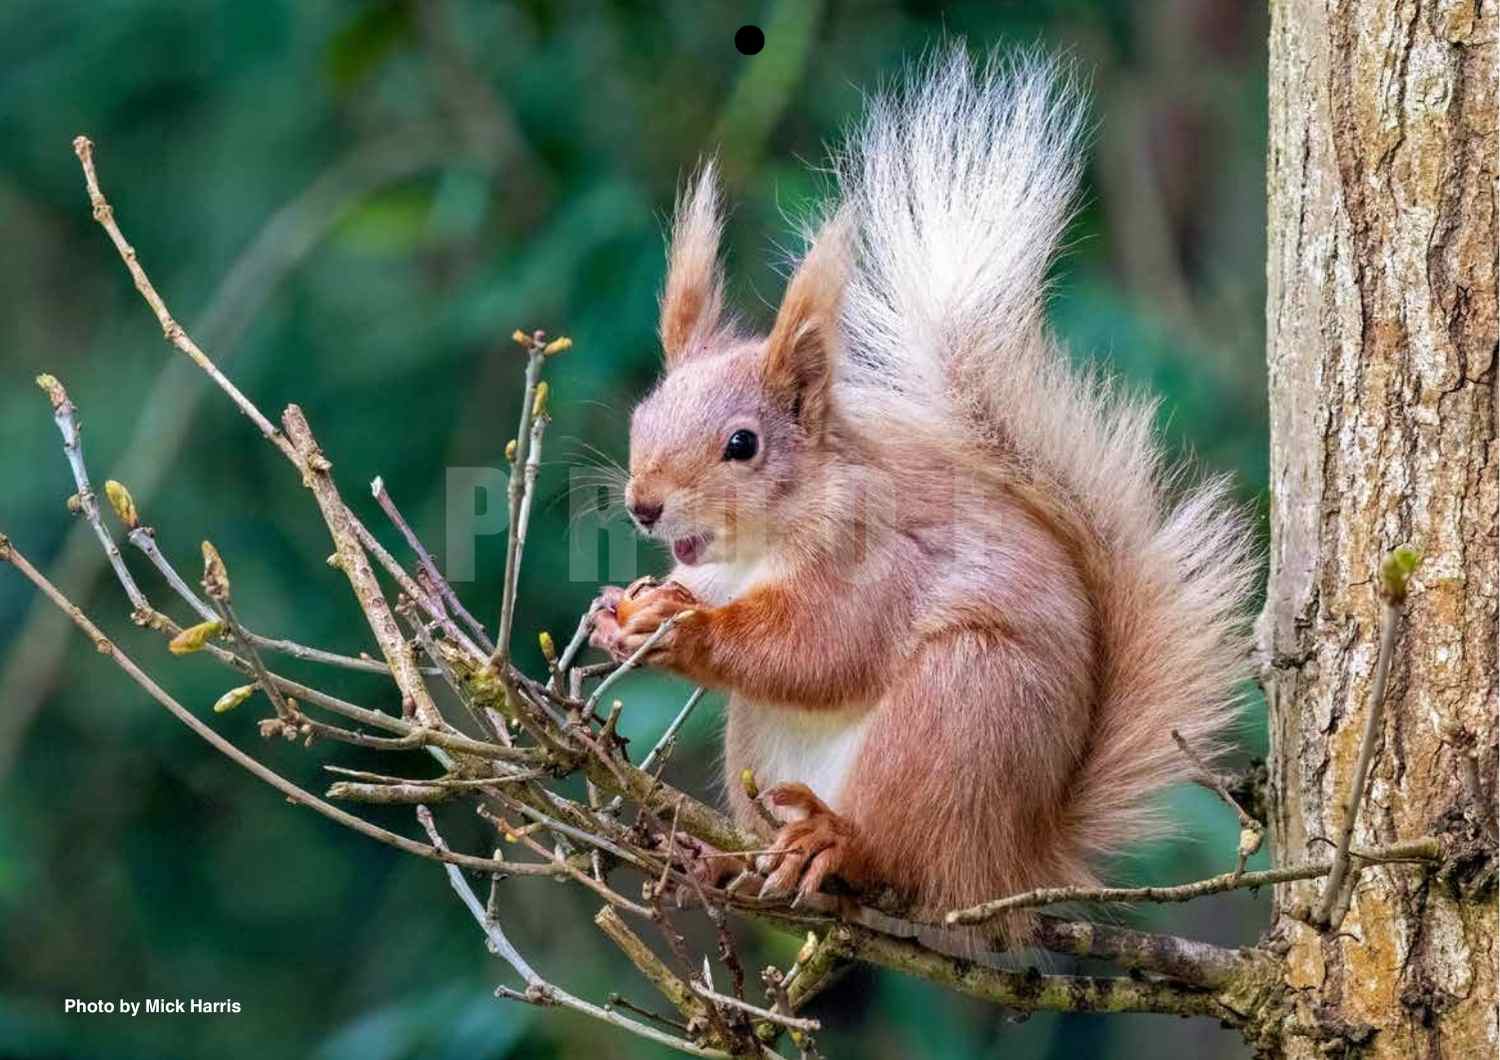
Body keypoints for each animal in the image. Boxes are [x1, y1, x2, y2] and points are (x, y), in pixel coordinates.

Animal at [589, 47, 1257, 941]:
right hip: (761, 749)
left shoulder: (878, 564)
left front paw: (687, 630)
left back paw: (838, 843)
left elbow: (821, 646)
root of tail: (1011, 859)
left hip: (956, 712)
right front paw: (618, 610)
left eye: (742, 445)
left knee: (903, 859)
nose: (645, 505)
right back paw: (726, 862)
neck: (762, 546)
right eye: (644, 414)